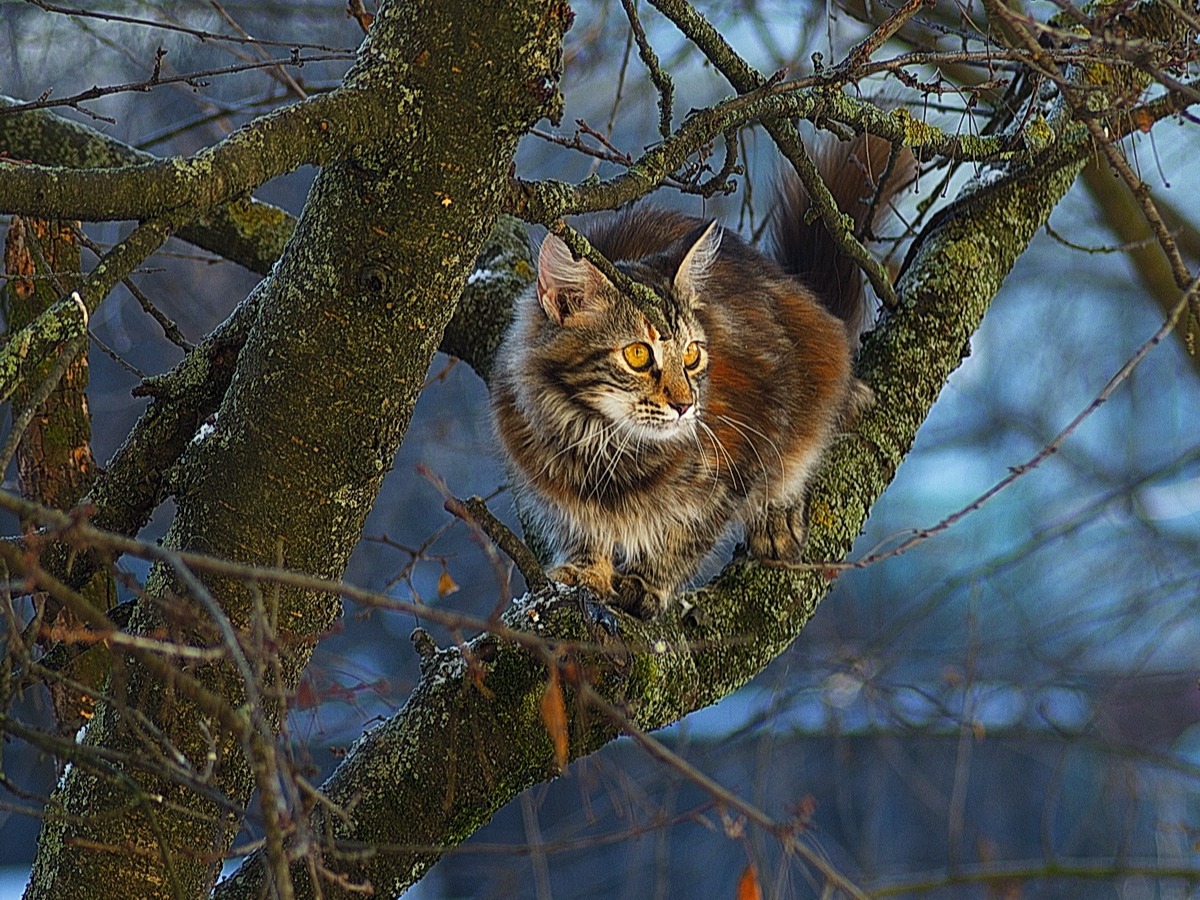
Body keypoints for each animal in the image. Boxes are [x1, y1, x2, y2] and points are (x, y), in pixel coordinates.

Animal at [487, 132, 907, 619]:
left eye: (691, 354)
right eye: (637, 354)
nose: (685, 405)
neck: (604, 445)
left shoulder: (744, 445)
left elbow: (688, 536)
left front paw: (647, 582)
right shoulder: (553, 488)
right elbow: (586, 531)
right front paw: (588, 572)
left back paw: (777, 515)